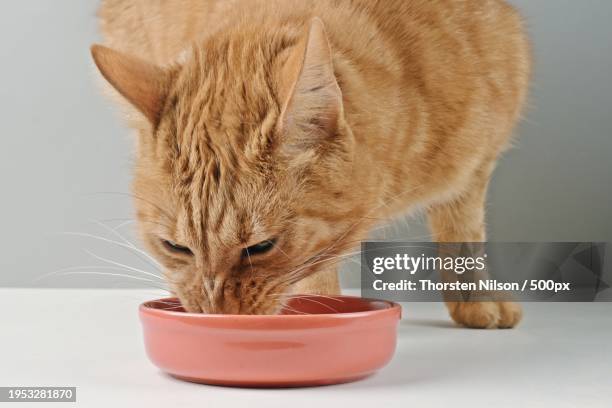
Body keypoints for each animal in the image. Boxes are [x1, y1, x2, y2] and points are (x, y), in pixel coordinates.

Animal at [91, 0, 532, 328]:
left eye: (261, 247)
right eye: (175, 247)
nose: (216, 313)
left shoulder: (474, 169)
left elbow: (463, 235)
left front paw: (476, 300)